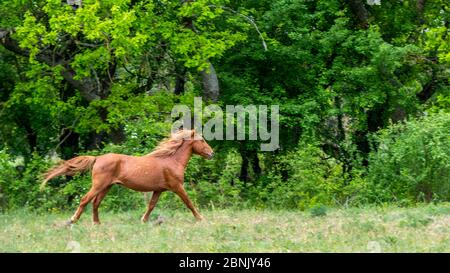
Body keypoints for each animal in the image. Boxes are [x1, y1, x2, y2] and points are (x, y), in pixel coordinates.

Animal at [41, 129, 214, 223]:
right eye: (202, 140)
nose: (212, 153)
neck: (171, 160)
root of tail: (97, 158)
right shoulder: (177, 187)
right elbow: (189, 203)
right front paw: (201, 218)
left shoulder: (159, 190)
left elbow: (151, 205)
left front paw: (143, 220)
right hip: (99, 185)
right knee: (85, 200)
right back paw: (73, 220)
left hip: (107, 186)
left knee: (96, 203)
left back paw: (97, 223)